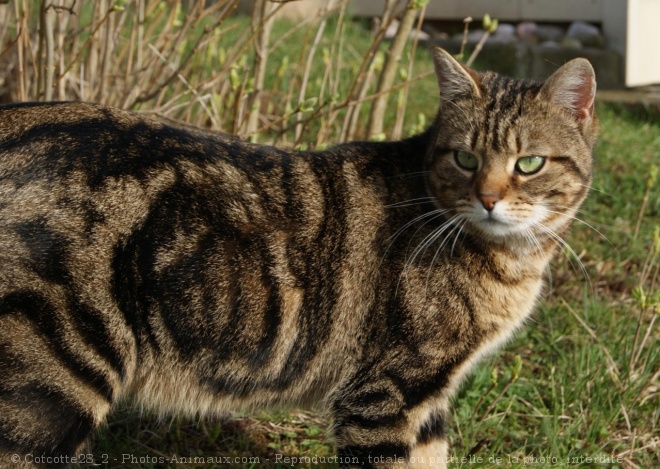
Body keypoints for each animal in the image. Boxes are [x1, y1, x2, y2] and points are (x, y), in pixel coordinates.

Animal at [1, 48, 600, 468]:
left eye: (529, 163)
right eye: (466, 157)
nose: (489, 198)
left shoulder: (428, 402)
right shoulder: (386, 395)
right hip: (49, 384)